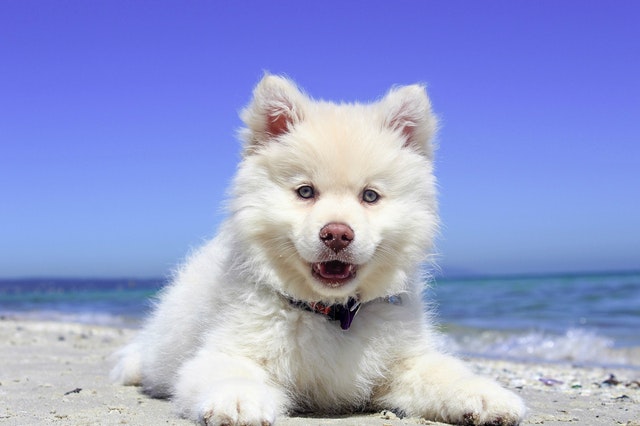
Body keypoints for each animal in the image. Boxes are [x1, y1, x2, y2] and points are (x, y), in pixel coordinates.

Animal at [112, 75, 524, 424]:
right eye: (306, 191)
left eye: (370, 196)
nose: (337, 234)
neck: (331, 313)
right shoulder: (227, 349)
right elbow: (229, 371)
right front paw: (238, 400)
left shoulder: (404, 362)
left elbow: (444, 372)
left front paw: (485, 395)